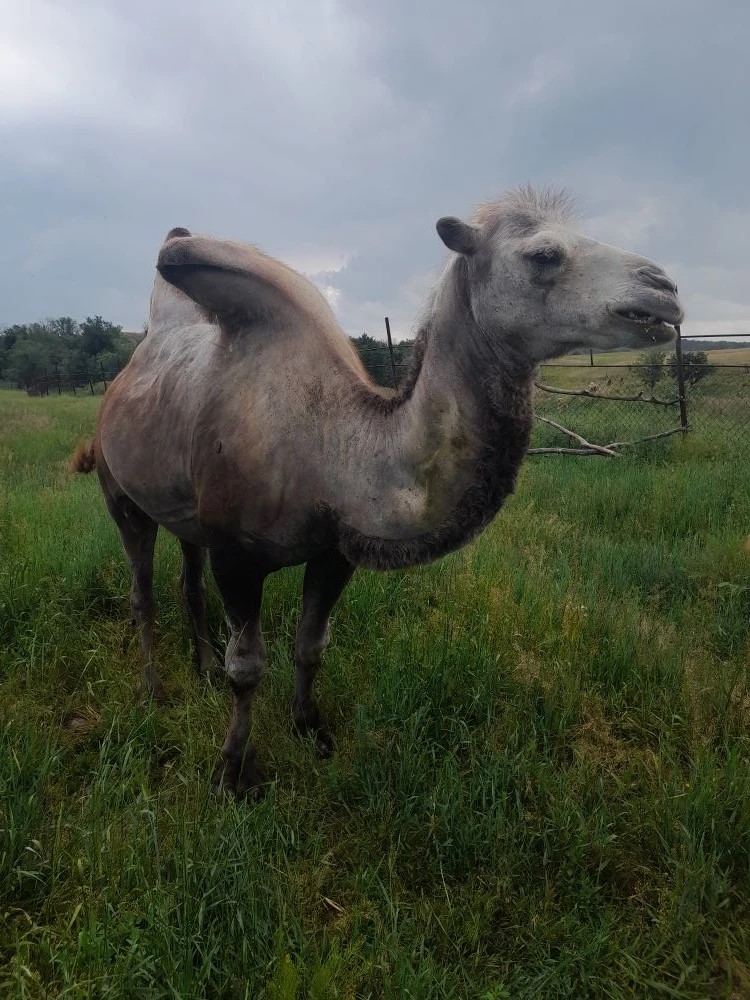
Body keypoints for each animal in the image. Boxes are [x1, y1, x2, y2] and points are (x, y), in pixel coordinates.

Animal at [72, 188, 683, 799]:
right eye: (543, 255)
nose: (665, 290)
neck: (330, 450)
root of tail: (119, 383)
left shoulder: (333, 551)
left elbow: (310, 646)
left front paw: (310, 731)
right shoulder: (236, 555)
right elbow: (246, 669)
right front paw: (231, 770)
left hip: (185, 513)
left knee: (189, 583)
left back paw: (198, 670)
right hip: (118, 494)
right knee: (143, 592)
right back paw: (152, 690)